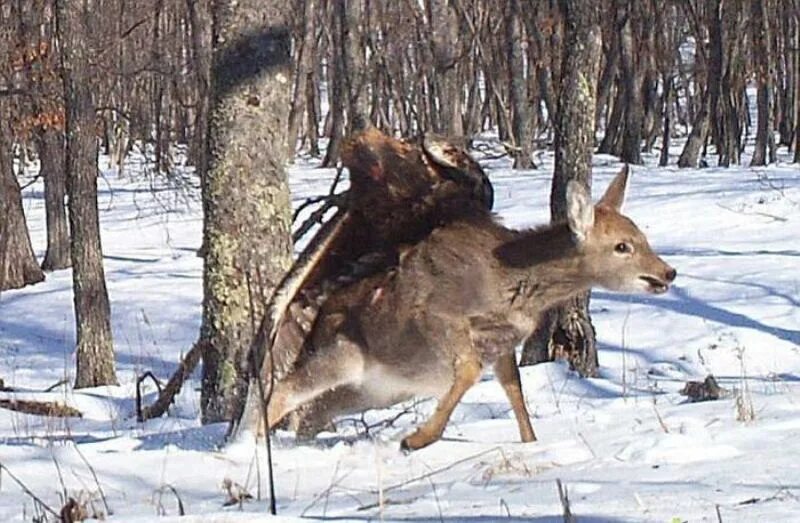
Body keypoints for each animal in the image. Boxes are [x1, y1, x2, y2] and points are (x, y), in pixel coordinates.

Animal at [260, 168, 676, 450]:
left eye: (642, 236)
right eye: (622, 246)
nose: (667, 272)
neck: (509, 283)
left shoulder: (504, 341)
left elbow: (514, 390)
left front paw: (531, 442)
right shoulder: (438, 315)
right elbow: (470, 371)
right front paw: (417, 439)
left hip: (374, 390)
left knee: (309, 415)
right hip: (342, 354)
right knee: (284, 391)